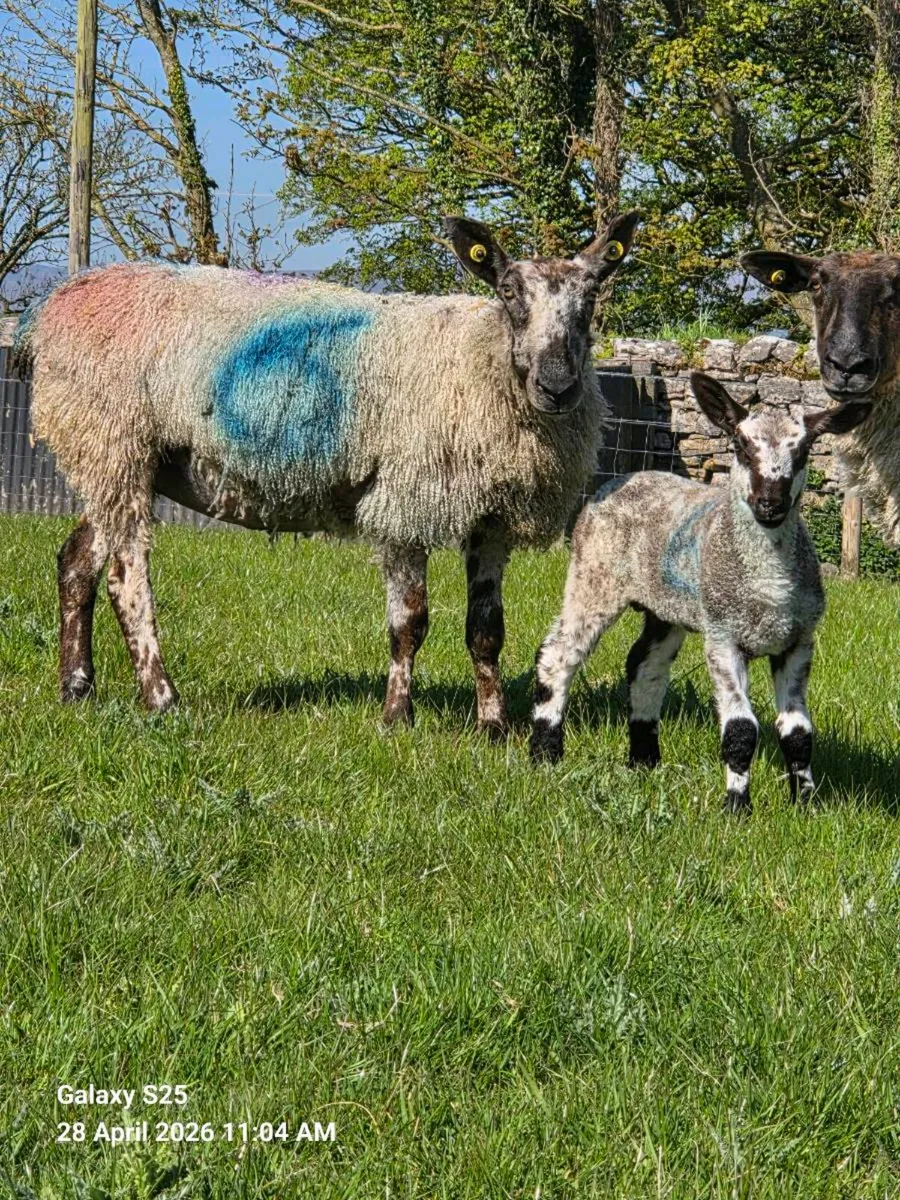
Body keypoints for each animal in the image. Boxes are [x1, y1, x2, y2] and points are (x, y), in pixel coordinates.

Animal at [15, 211, 639, 732]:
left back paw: (77, 690)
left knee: (77, 562)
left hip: (117, 460)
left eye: (591, 297)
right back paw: (162, 699)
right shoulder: (402, 500)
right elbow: (409, 623)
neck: (477, 362)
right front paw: (397, 720)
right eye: (509, 292)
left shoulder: (493, 518)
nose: (558, 386)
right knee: (126, 577)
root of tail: (51, 308)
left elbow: (486, 631)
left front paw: (494, 727)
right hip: (112, 437)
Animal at [530, 372, 871, 813]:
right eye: (741, 445)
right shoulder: (723, 636)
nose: (770, 504)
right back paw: (545, 752)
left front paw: (806, 806)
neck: (768, 587)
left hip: (666, 607)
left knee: (645, 665)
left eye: (804, 450)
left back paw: (644, 760)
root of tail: (621, 479)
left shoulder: (798, 640)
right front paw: (737, 808)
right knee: (559, 654)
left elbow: (797, 731)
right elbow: (741, 730)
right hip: (594, 575)